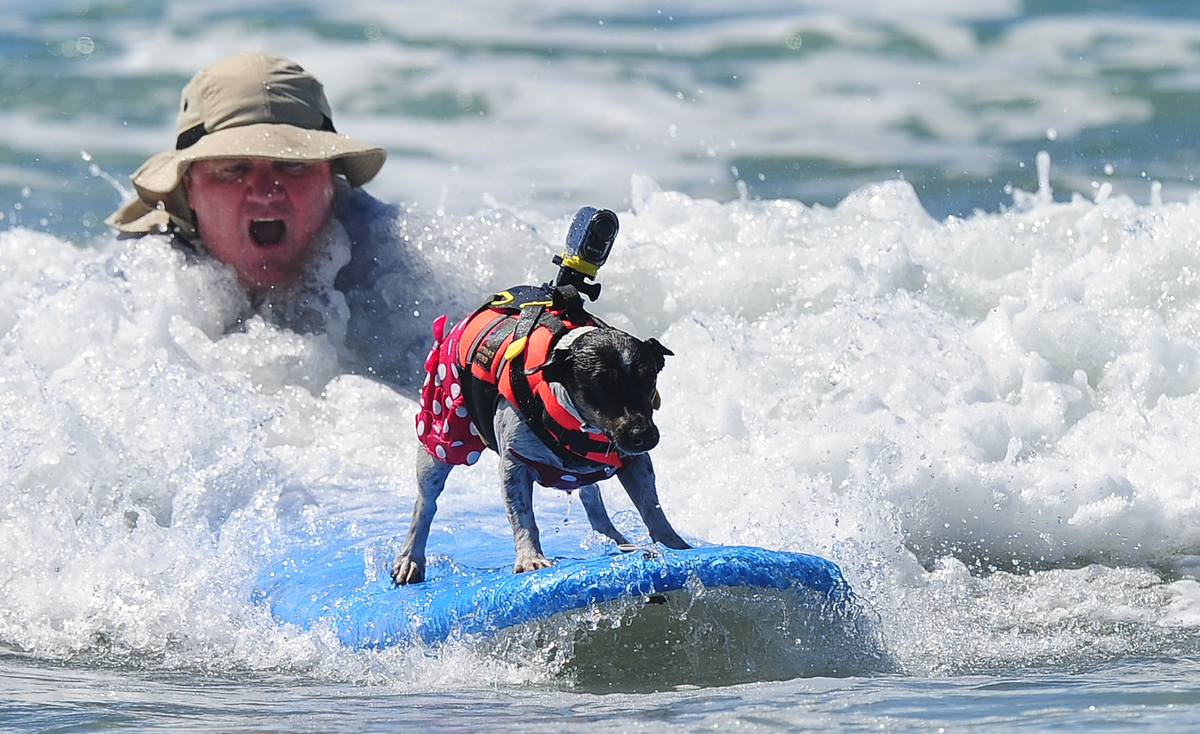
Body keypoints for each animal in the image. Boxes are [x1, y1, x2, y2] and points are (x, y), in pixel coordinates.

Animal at [391, 281, 691, 585]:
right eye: (600, 384)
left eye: (649, 380)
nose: (645, 435)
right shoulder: (514, 466)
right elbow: (523, 515)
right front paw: (530, 558)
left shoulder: (634, 462)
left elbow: (651, 507)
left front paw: (673, 543)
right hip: (443, 427)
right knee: (426, 502)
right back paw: (409, 557)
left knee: (591, 497)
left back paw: (615, 539)